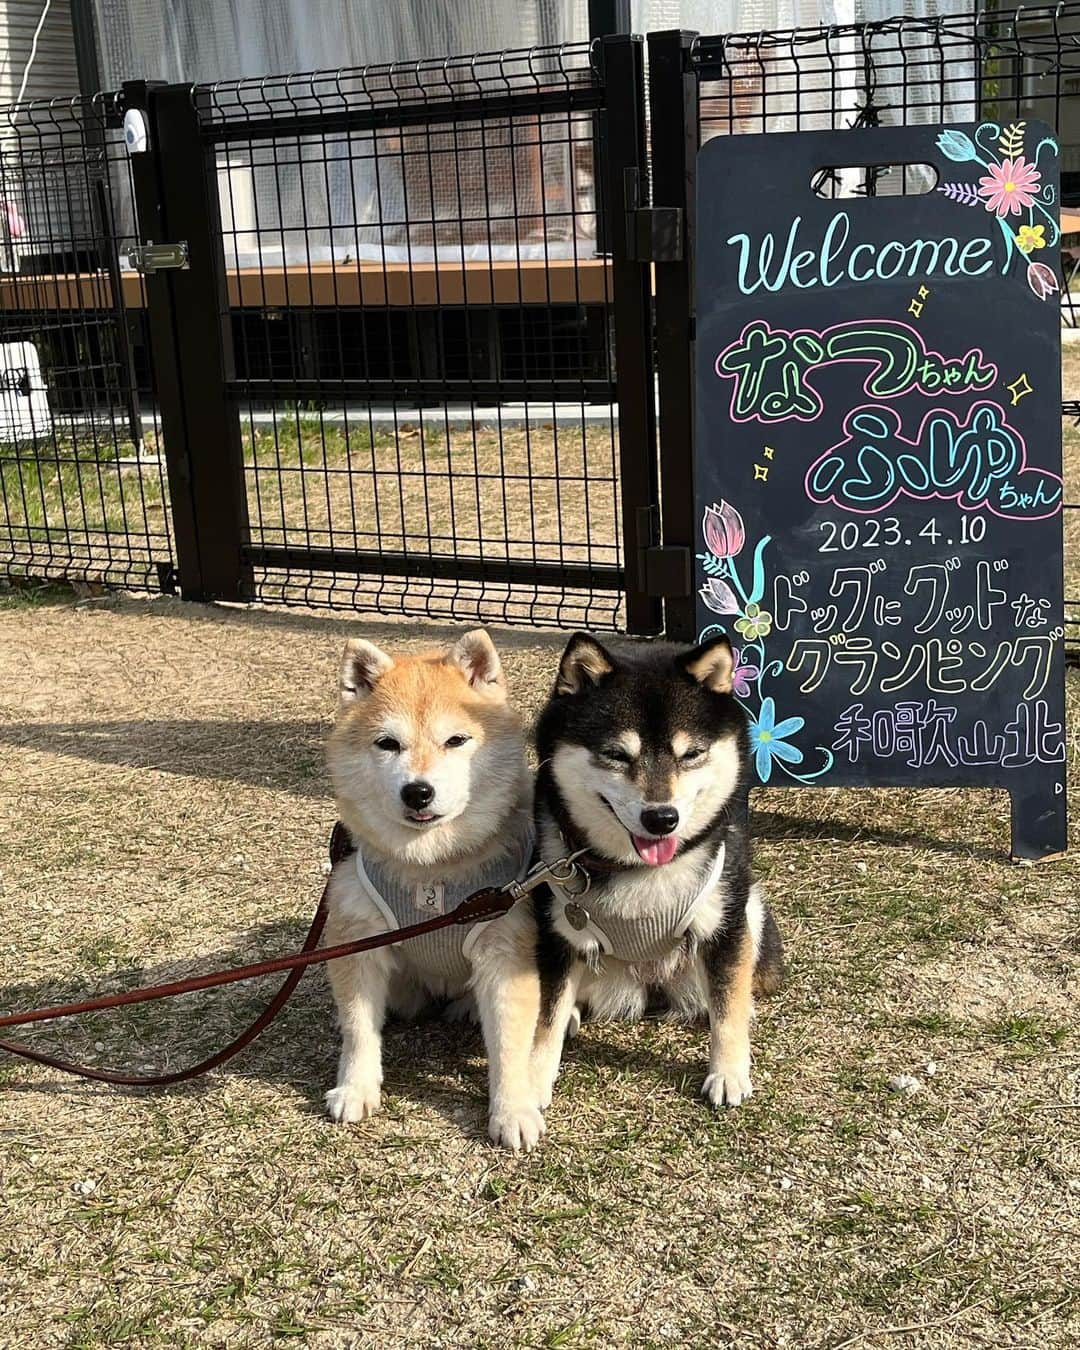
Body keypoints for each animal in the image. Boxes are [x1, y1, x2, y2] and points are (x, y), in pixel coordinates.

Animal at [325, 631, 534, 1128]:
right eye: (387, 744)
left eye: (456, 740)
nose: (417, 791)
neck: (431, 867)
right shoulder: (357, 943)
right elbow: (359, 1027)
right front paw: (355, 1087)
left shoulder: (506, 951)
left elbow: (509, 1043)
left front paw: (513, 1110)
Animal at [472, 631, 783, 1150]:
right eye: (617, 755)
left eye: (691, 754)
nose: (662, 818)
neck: (637, 871)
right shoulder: (557, 936)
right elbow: (546, 1018)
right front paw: (532, 1083)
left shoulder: (725, 924)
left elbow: (727, 1004)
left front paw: (728, 1072)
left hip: (752, 910)